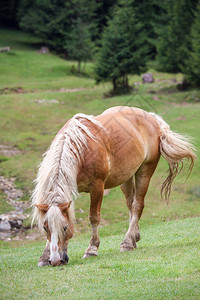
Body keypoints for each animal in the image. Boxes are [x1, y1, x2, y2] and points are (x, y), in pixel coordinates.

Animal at [32, 106, 196, 266]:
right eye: (45, 227)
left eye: (65, 227)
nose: (56, 261)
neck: (81, 149)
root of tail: (151, 118)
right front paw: (44, 256)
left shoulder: (97, 187)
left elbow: (94, 217)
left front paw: (92, 249)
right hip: (126, 177)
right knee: (130, 204)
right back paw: (134, 237)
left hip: (145, 171)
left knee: (137, 205)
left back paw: (127, 242)